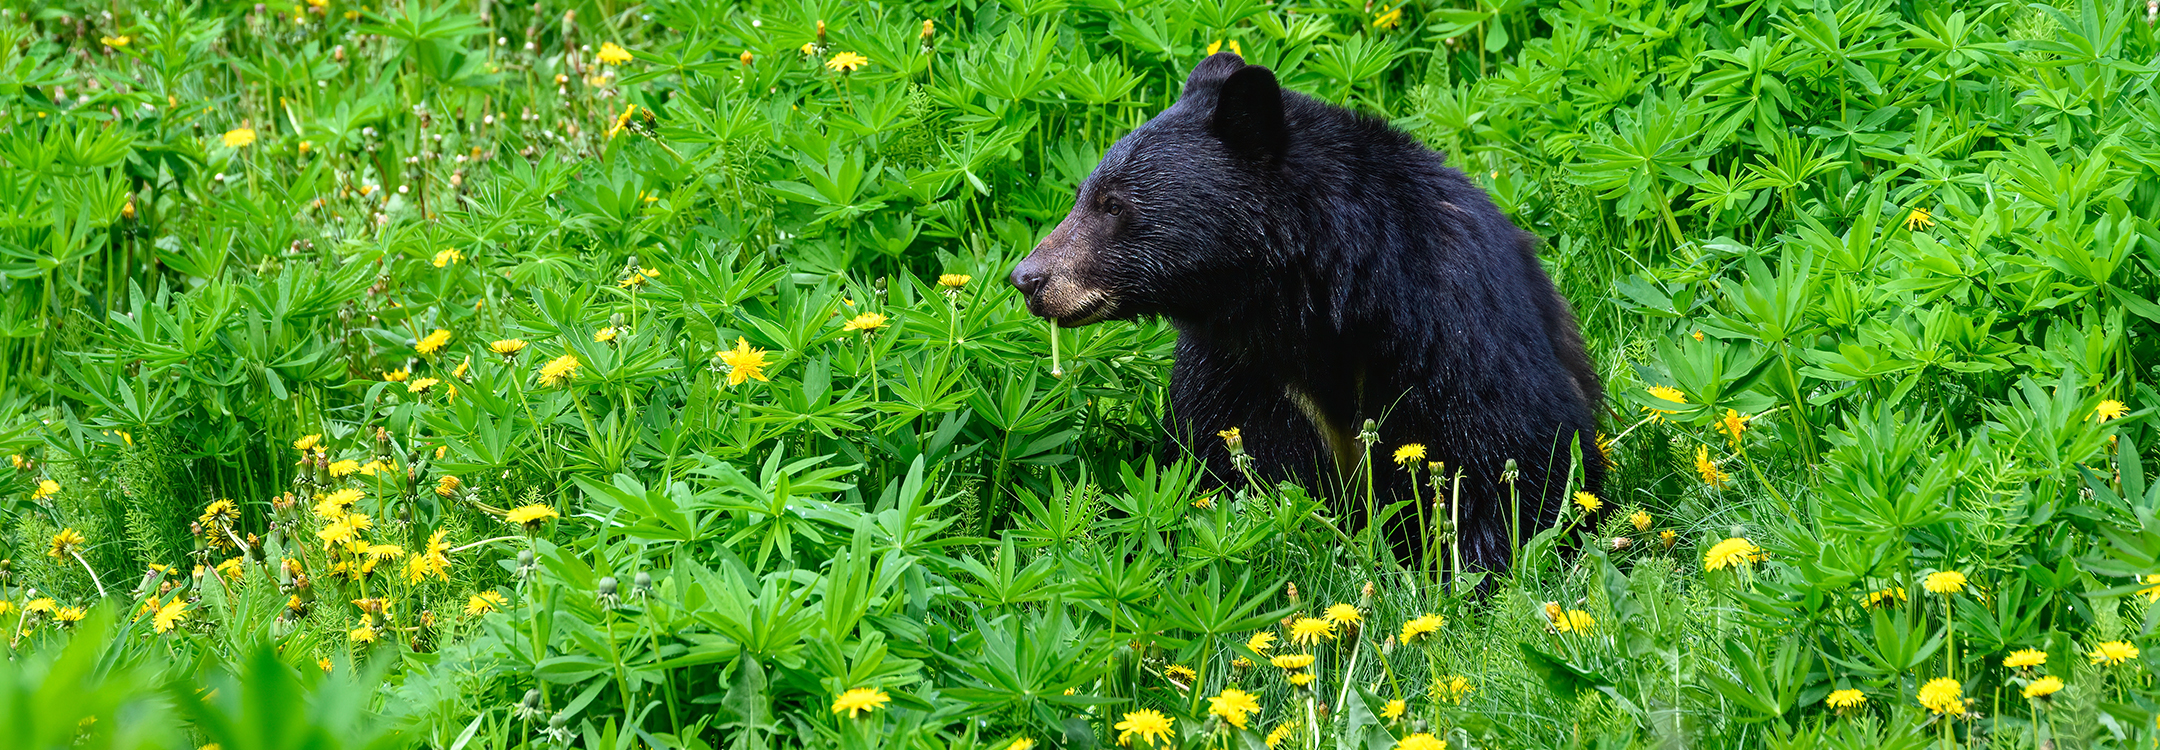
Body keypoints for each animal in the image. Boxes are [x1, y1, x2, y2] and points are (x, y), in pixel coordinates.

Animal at [1007, 53, 1603, 575]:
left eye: (1112, 204)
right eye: (1083, 193)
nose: (1027, 279)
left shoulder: (1453, 328)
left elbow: (1507, 453)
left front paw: (1481, 574)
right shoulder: (1241, 368)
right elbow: (1237, 460)